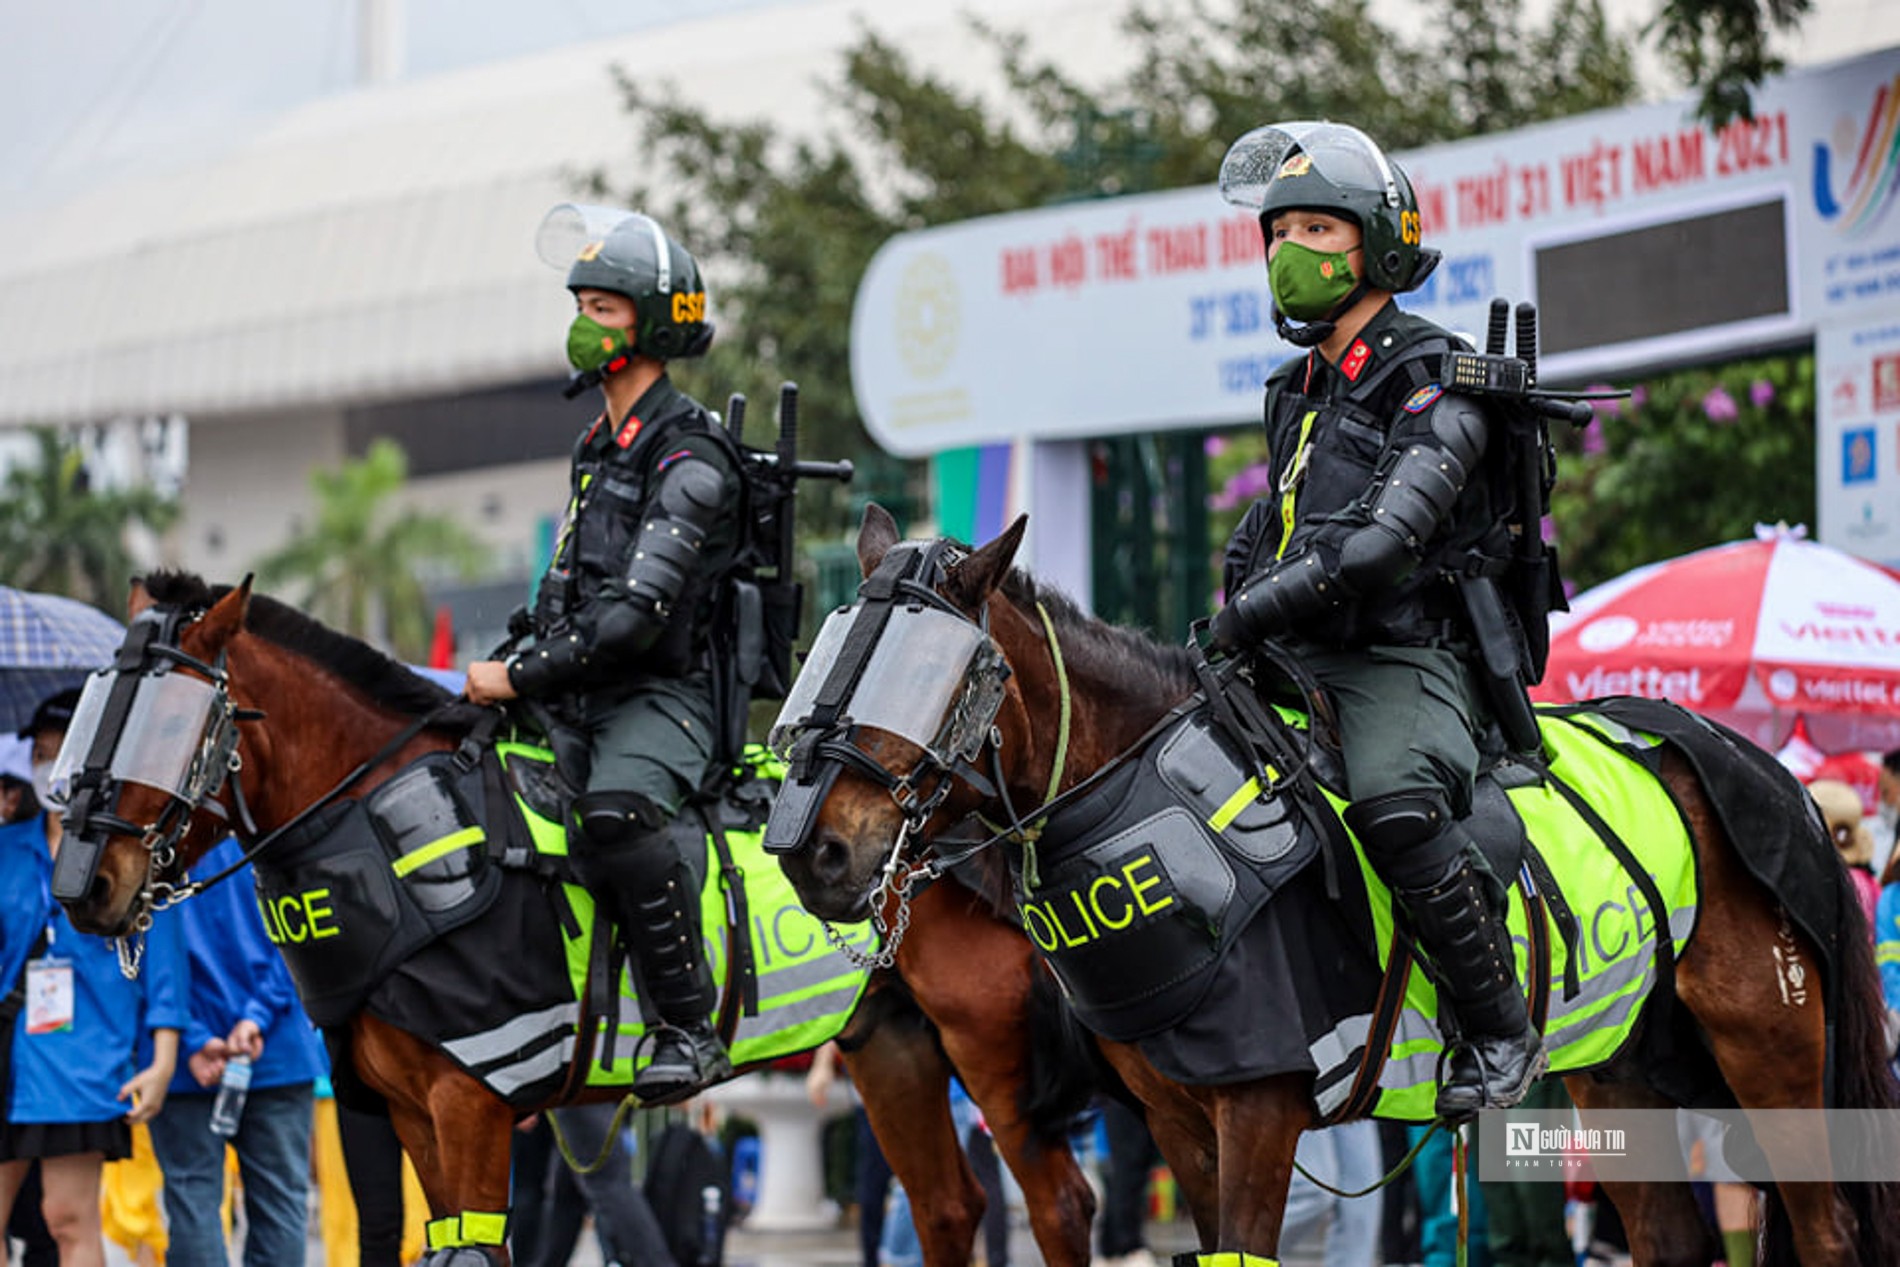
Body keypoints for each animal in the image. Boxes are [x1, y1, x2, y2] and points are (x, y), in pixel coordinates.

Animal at [48, 577, 1102, 1267]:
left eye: (170, 726)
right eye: (93, 711)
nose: (81, 882)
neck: (389, 836)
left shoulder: (472, 1099)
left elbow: (475, 1251)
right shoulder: (408, 1110)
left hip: (990, 1039)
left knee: (1058, 1202)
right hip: (893, 1041)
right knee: (948, 1208)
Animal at [767, 501, 1900, 1267]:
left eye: (930, 675)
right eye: (826, 655)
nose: (813, 851)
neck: (1145, 792)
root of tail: (1752, 763)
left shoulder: (1261, 1107)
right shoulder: (1181, 1120)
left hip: (1772, 1058)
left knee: (1829, 1227)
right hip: (1620, 1067)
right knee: (1669, 1236)